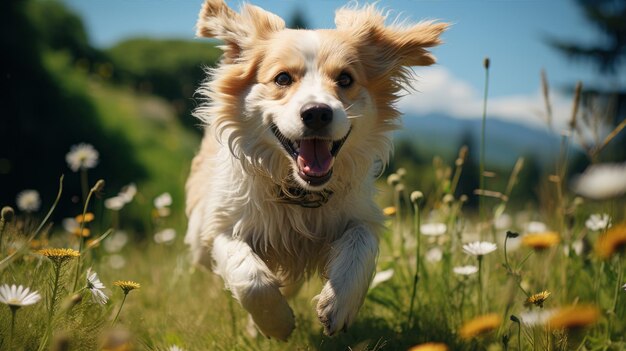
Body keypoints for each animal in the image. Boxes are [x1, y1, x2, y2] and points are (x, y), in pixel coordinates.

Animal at [183, 0, 446, 340]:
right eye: (282, 78)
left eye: (345, 79)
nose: (317, 113)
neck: (301, 193)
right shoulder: (222, 224)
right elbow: (250, 276)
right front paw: (276, 322)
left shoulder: (361, 213)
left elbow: (361, 243)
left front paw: (338, 305)